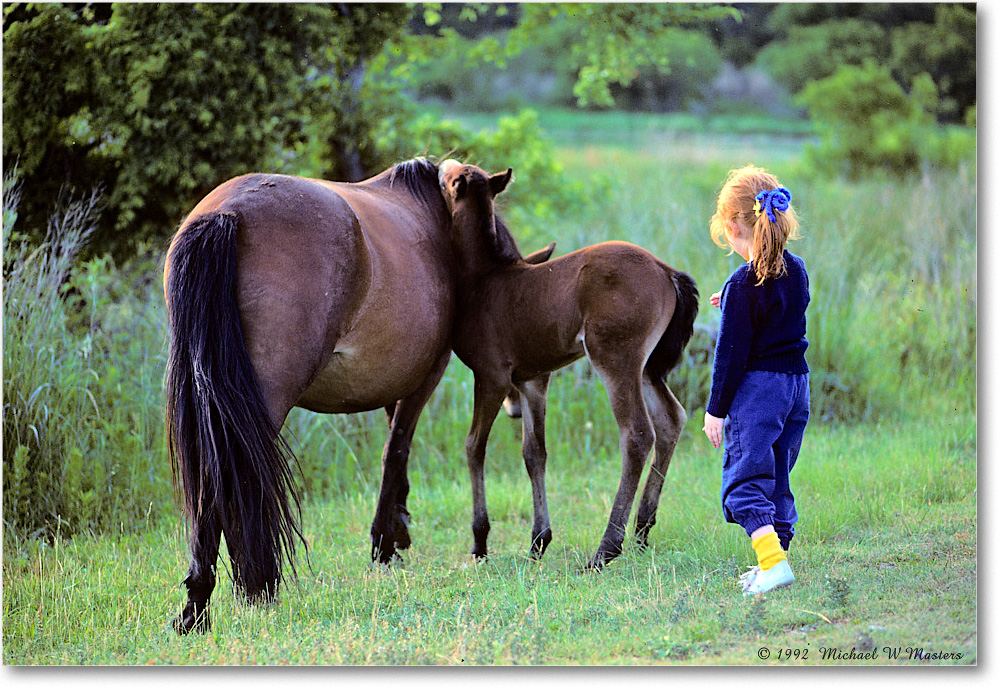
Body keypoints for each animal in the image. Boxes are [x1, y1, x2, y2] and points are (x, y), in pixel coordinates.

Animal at [165, 159, 458, 632]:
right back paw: (245, 587)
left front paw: (396, 529)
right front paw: (385, 543)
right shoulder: (425, 376)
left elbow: (394, 447)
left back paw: (195, 607)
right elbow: (396, 449)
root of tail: (227, 213)